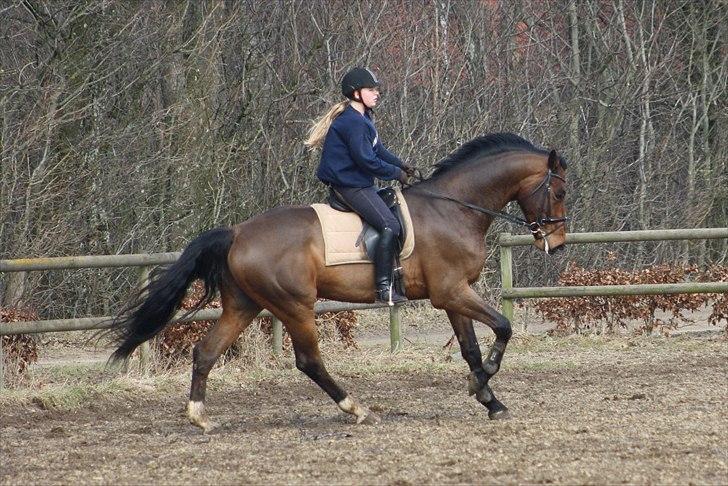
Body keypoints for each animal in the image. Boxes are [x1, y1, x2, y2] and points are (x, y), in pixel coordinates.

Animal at [106, 131, 568, 430]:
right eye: (560, 192)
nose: (558, 244)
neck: (454, 208)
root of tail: (236, 232)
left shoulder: (453, 294)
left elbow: (471, 347)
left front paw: (488, 398)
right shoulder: (453, 292)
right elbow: (503, 327)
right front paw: (483, 382)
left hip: (244, 305)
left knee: (205, 351)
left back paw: (200, 417)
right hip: (295, 306)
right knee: (309, 361)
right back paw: (356, 409)